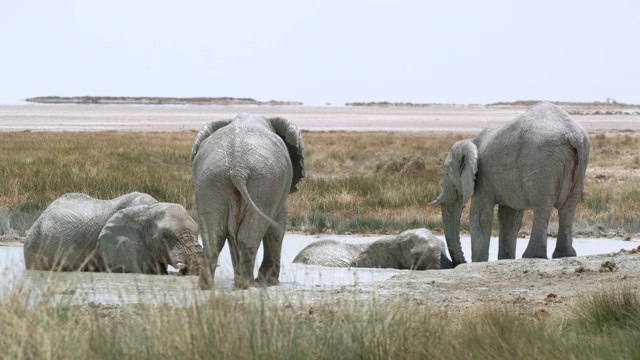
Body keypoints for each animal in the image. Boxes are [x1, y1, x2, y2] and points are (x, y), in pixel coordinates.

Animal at [190, 112, 304, 290]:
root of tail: (238, 168)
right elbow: (277, 228)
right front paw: (269, 282)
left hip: (209, 181)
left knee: (214, 237)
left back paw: (208, 287)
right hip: (265, 183)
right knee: (248, 236)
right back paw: (247, 285)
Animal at [430, 102, 592, 266]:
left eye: (446, 174)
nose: (459, 262)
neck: (472, 141)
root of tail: (574, 134)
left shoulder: (483, 178)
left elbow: (480, 219)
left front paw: (479, 262)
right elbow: (509, 219)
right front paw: (505, 258)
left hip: (543, 163)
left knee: (542, 206)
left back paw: (533, 256)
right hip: (579, 160)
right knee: (568, 208)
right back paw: (564, 255)